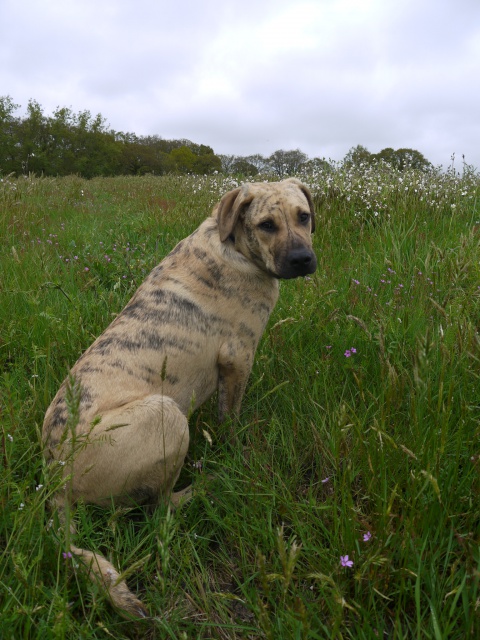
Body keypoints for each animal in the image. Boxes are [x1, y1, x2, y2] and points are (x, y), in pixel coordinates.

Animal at [42, 178, 318, 616]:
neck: (235, 245)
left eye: (303, 217)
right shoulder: (238, 356)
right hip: (166, 415)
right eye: (267, 225)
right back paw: (200, 490)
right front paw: (237, 451)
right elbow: (230, 420)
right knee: (158, 509)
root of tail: (54, 479)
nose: (303, 259)